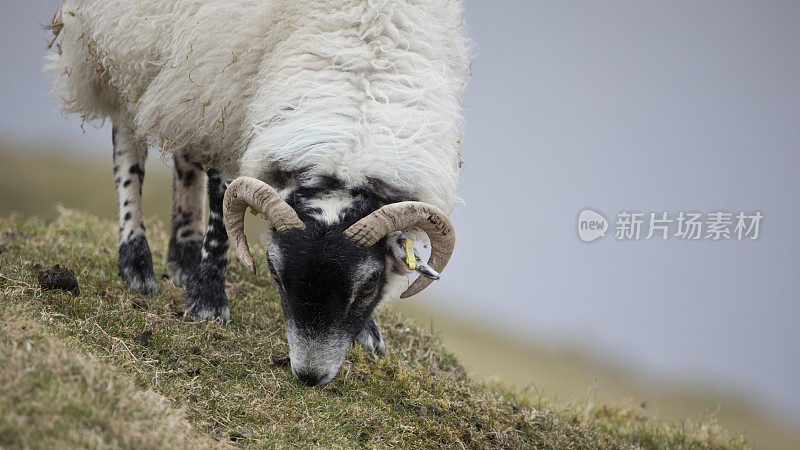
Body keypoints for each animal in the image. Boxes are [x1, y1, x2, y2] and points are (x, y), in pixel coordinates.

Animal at [45, 0, 468, 386]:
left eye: (367, 286)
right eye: (276, 275)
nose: (309, 376)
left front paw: (369, 333)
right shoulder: (225, 98)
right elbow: (221, 202)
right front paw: (208, 301)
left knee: (184, 155)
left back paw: (183, 256)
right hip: (121, 51)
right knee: (128, 147)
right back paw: (137, 263)